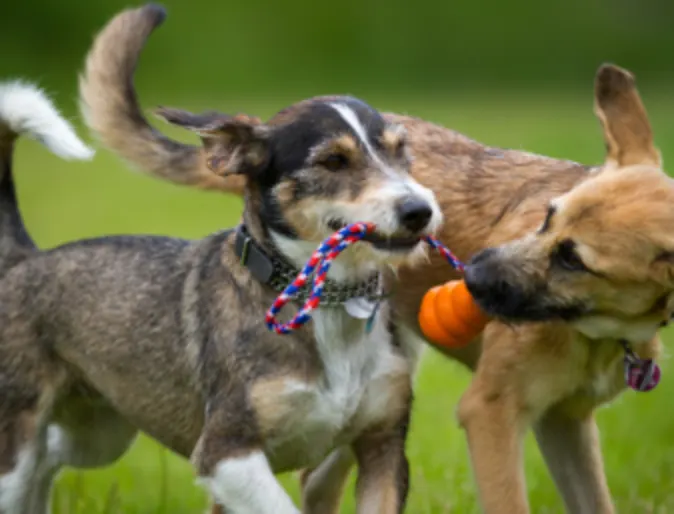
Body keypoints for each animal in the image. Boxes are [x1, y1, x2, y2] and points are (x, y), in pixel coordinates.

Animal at [0, 4, 444, 512]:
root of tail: (25, 258)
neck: (326, 304)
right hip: (22, 430)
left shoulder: (383, 446)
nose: (420, 211)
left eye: (401, 151)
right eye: (333, 161)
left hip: (99, 431)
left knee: (48, 459)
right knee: (27, 466)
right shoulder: (225, 454)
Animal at [79, 5, 674, 512]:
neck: (602, 333)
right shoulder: (491, 412)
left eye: (574, 260)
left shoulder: (565, 423)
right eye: (547, 217)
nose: (472, 274)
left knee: (319, 478)